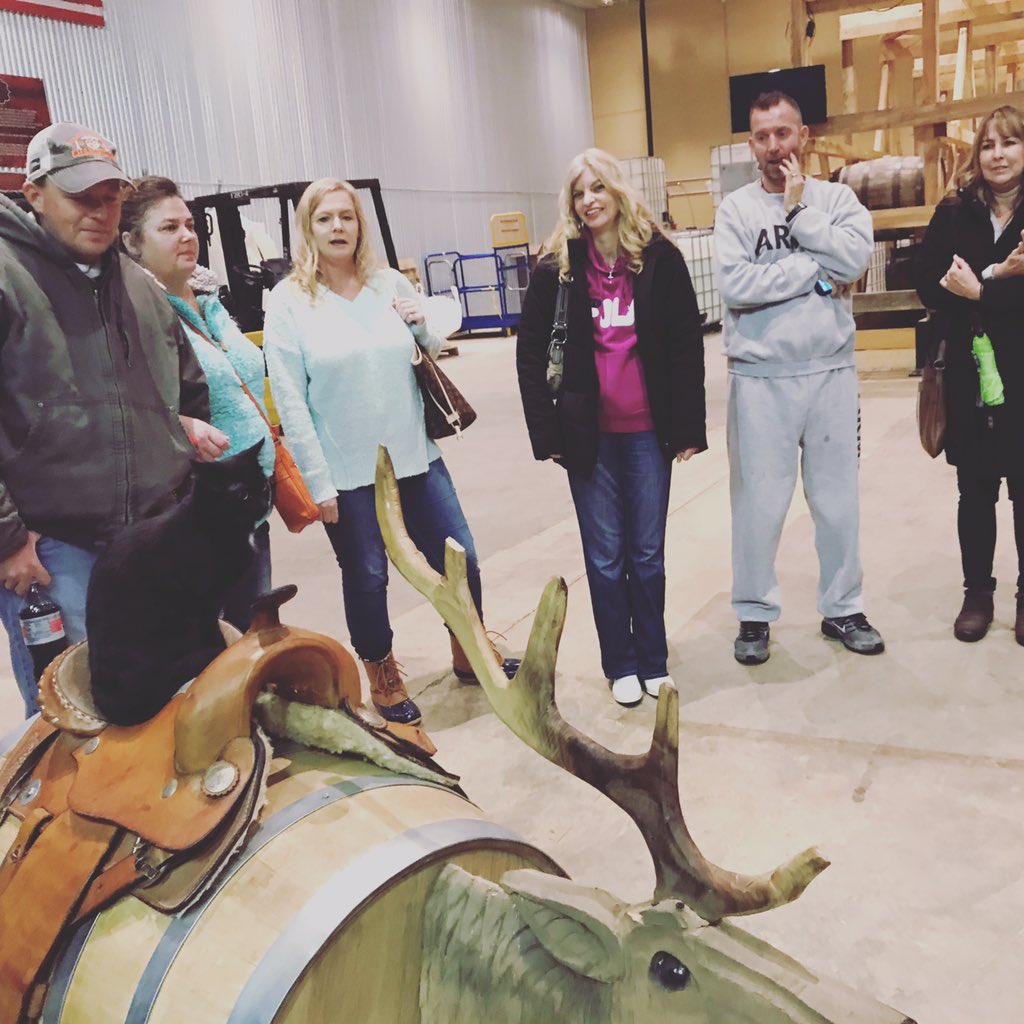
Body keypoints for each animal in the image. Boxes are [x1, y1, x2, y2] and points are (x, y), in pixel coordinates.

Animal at [87, 442, 270, 729]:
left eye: (262, 485)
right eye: (242, 495)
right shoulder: (204, 602)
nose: (264, 502)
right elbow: (212, 632)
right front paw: (222, 654)